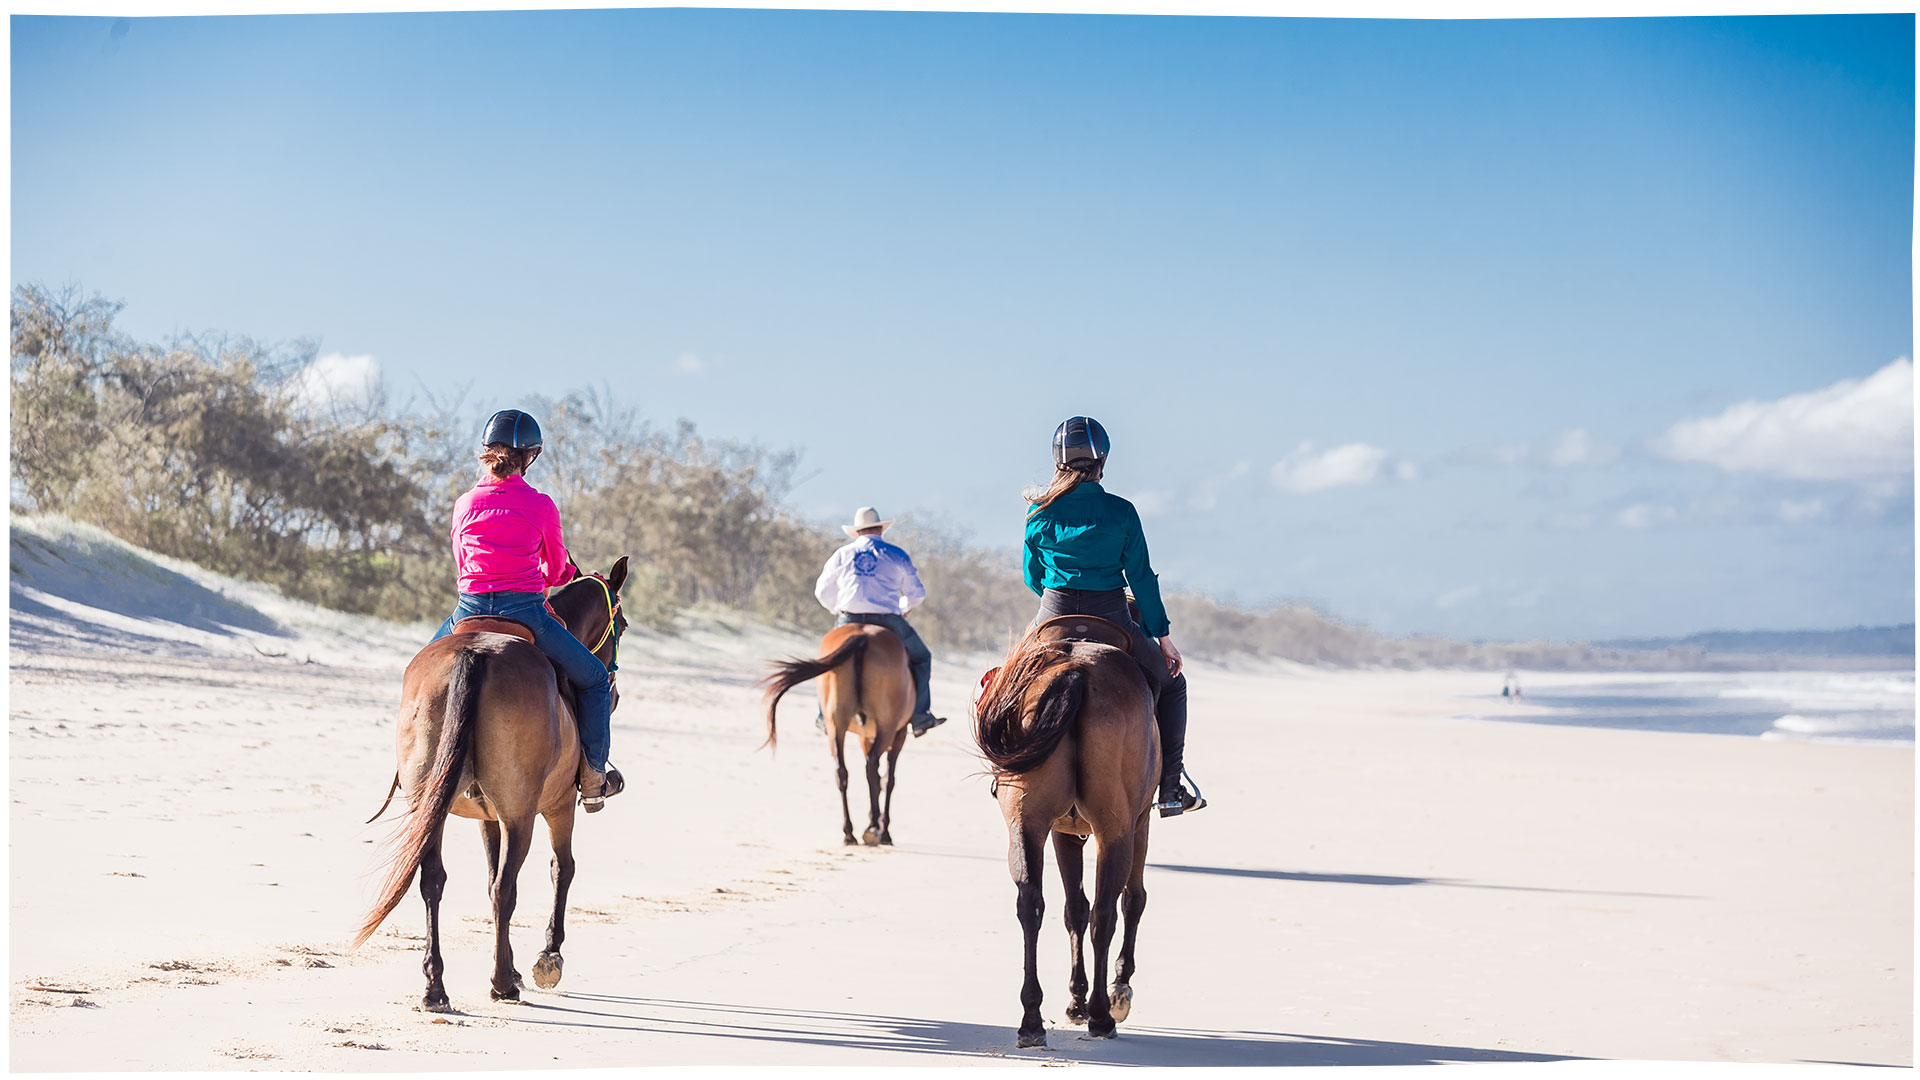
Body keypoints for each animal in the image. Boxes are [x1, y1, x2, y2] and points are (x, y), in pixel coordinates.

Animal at [352, 557, 630, 1012]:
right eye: (621, 625)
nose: (615, 690)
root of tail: (474, 654)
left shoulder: (487, 817)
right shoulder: (557, 806)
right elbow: (561, 868)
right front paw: (547, 957)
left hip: (432, 806)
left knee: (434, 883)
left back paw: (436, 987)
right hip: (521, 813)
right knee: (506, 888)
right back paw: (501, 983)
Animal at [761, 622, 915, 846]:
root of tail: (863, 636)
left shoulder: (865, 737)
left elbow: (878, 779)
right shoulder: (898, 734)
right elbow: (887, 779)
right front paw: (883, 829)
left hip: (836, 725)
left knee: (842, 772)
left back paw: (850, 832)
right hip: (887, 727)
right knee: (872, 768)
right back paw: (874, 830)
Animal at [972, 616, 1159, 1049]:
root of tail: (1075, 670)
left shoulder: (1063, 832)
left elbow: (1074, 909)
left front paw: (1075, 1000)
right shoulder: (1138, 824)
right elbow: (1132, 900)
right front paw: (1116, 990)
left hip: (1026, 822)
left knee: (1031, 904)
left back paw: (1032, 1019)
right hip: (1115, 830)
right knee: (1106, 912)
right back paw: (1103, 1015)